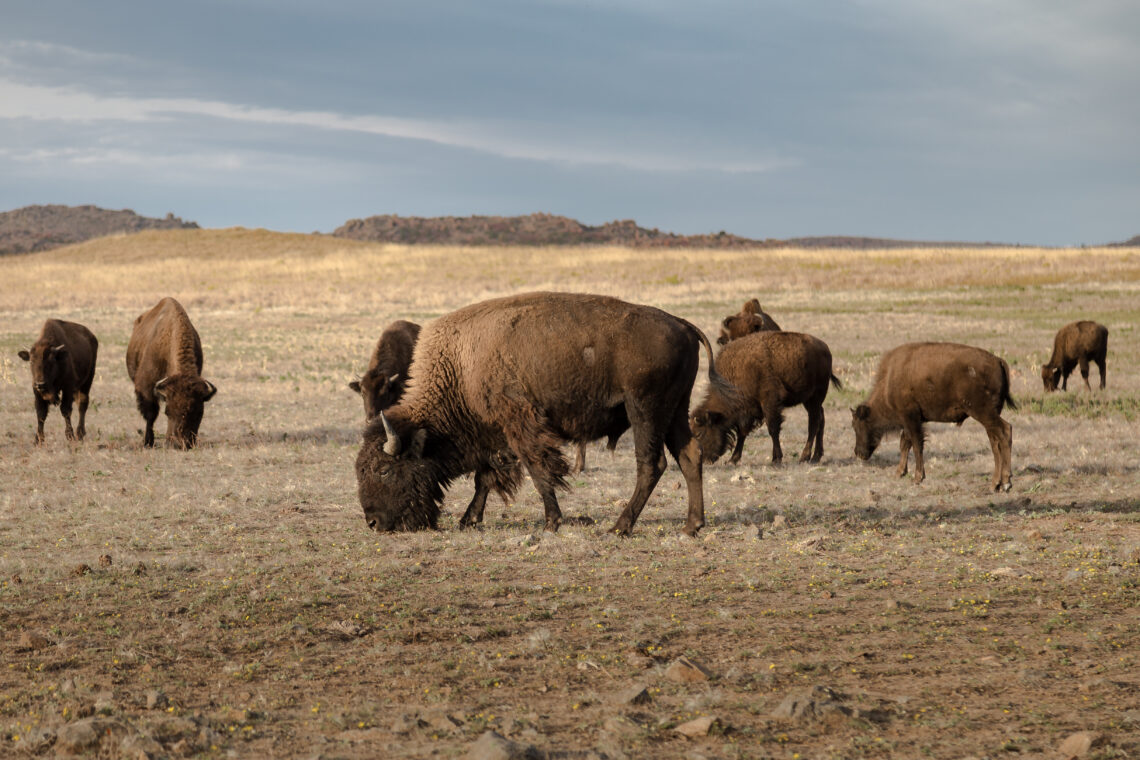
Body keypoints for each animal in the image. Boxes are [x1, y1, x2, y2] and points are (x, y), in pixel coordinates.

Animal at [126, 297, 217, 449]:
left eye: (200, 412)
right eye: (167, 411)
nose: (179, 444)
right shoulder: (146, 387)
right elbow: (150, 414)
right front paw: (148, 442)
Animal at [356, 292, 730, 536]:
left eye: (385, 470)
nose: (373, 522)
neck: (461, 365)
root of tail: (681, 324)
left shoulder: (520, 425)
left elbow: (538, 472)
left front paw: (552, 522)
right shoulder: (495, 434)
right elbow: (485, 477)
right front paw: (468, 520)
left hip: (645, 410)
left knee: (652, 464)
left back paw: (619, 527)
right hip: (675, 410)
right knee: (689, 455)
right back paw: (691, 526)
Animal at [691, 331, 840, 465]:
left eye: (699, 433)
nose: (704, 460)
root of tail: (825, 348)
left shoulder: (769, 402)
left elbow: (773, 429)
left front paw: (776, 459)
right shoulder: (749, 410)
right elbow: (742, 432)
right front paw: (733, 460)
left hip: (815, 397)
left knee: (813, 423)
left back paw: (804, 457)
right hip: (809, 400)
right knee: (821, 419)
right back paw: (816, 457)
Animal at [851, 342, 1015, 491]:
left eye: (858, 425)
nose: (858, 453)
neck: (890, 381)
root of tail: (998, 361)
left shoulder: (911, 418)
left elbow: (916, 445)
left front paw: (918, 478)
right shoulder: (911, 421)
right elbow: (905, 444)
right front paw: (900, 472)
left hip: (984, 413)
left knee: (1005, 431)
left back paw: (1005, 482)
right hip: (989, 417)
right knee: (995, 442)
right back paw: (997, 484)